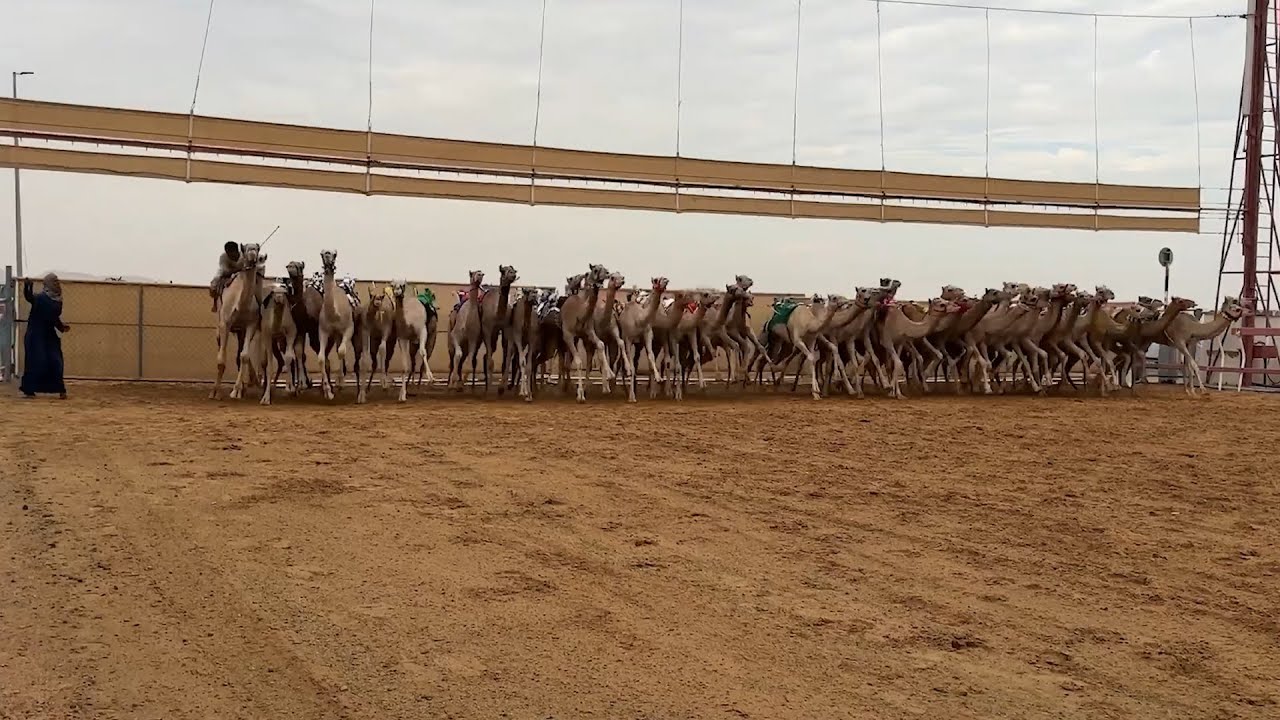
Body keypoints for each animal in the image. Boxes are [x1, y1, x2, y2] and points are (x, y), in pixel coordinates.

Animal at [209, 240, 264, 397]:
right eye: (245, 249)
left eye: (257, 248)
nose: (253, 255)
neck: (241, 306)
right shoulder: (225, 324)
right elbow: (221, 360)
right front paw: (215, 392)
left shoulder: (251, 325)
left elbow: (244, 356)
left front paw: (237, 390)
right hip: (221, 329)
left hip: (241, 331)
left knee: (241, 354)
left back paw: (250, 383)